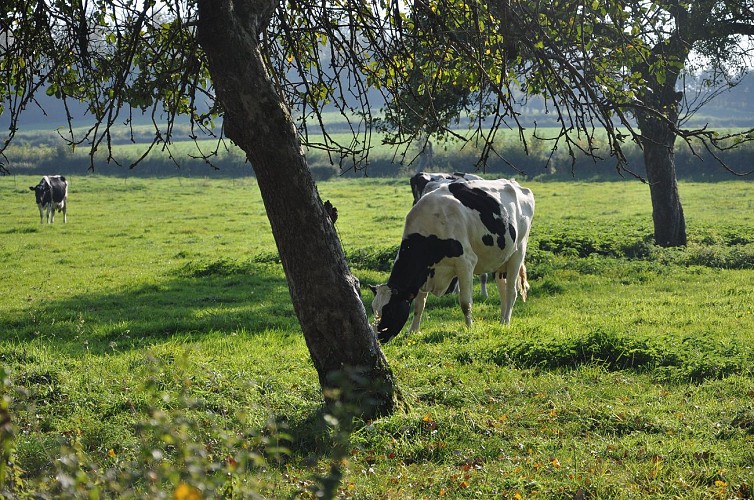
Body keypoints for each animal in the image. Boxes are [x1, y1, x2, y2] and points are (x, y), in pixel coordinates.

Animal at [368, 180, 532, 344]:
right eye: (373, 308)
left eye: (389, 310)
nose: (376, 338)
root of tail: (513, 183)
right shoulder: (425, 272)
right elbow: (419, 305)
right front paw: (413, 330)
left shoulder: (466, 263)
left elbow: (465, 303)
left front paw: (469, 328)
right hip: (501, 259)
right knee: (502, 290)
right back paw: (501, 320)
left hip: (518, 252)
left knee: (511, 291)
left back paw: (506, 321)